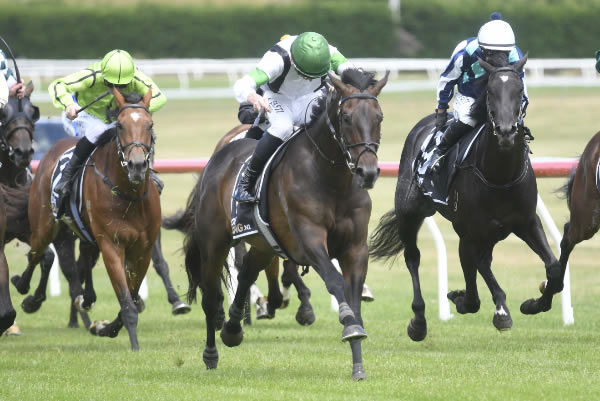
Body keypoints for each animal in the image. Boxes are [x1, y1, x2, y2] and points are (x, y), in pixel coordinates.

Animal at [24, 88, 159, 350]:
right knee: (36, 254)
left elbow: (132, 296)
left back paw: (85, 299)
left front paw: (105, 328)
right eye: (120, 126)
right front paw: (134, 344)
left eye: (150, 125)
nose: (137, 166)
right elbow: (127, 301)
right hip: (44, 226)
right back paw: (27, 293)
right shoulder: (111, 244)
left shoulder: (143, 249)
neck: (128, 195)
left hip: (85, 233)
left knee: (82, 258)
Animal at [183, 69, 390, 378]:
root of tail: (218, 157)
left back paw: (233, 329)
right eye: (346, 117)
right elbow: (335, 280)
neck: (332, 180)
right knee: (210, 297)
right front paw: (349, 325)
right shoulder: (309, 239)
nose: (368, 172)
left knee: (247, 273)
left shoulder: (355, 248)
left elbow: (353, 296)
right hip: (214, 243)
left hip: (264, 245)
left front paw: (357, 364)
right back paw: (211, 353)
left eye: (379, 117)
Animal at [370, 54, 564, 340]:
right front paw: (467, 300)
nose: (506, 131)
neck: (499, 176)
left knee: (483, 261)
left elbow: (553, 267)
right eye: (491, 91)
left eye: (519, 90)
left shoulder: (526, 222)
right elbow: (472, 292)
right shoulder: (469, 231)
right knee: (413, 257)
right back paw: (419, 321)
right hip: (411, 213)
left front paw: (533, 303)